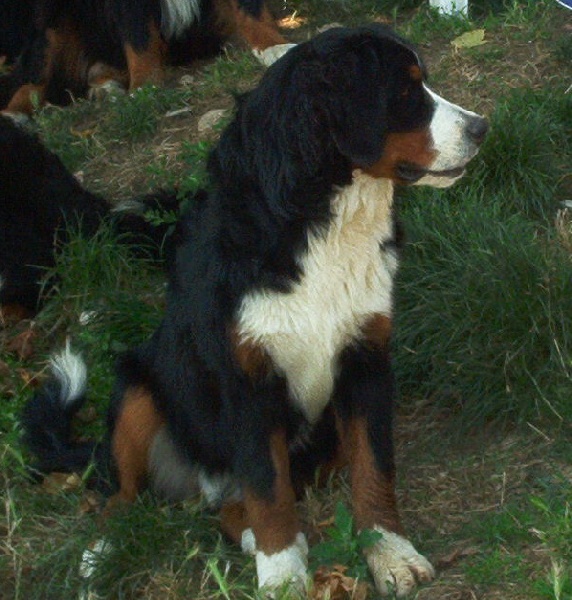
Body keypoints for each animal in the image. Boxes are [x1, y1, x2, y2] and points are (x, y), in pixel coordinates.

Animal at [22, 22, 488, 596]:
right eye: (404, 91)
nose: (481, 127)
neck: (325, 223)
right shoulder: (248, 380)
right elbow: (269, 491)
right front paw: (283, 573)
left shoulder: (365, 360)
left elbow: (373, 468)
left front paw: (390, 552)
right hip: (138, 384)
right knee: (123, 495)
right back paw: (101, 556)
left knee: (231, 508)